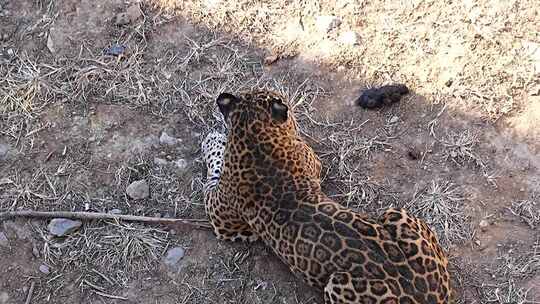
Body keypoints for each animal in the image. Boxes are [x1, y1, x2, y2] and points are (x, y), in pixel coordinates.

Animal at [200, 89, 454, 304]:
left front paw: (212, 140)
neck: (254, 136)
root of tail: (428, 297)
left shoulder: (222, 220)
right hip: (396, 213)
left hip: (337, 283)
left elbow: (214, 168)